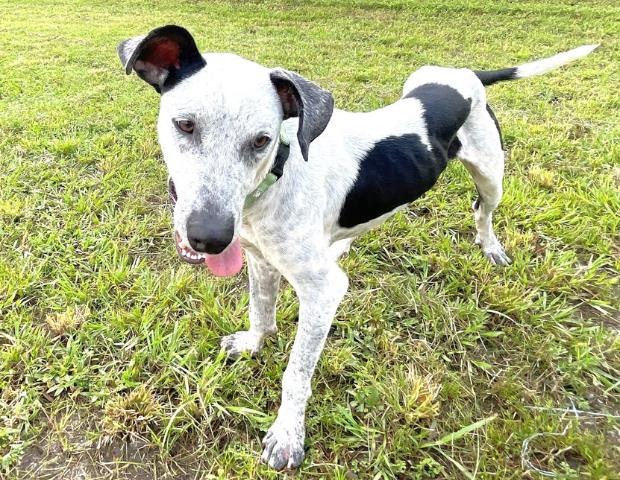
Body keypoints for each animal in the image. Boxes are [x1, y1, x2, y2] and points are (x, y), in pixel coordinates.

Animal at [115, 26, 596, 468]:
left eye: (261, 140)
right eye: (185, 125)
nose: (210, 237)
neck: (279, 173)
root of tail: (465, 74)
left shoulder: (321, 293)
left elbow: (297, 373)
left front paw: (287, 434)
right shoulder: (259, 258)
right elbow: (261, 312)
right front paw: (254, 343)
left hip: (492, 175)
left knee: (483, 210)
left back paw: (490, 244)